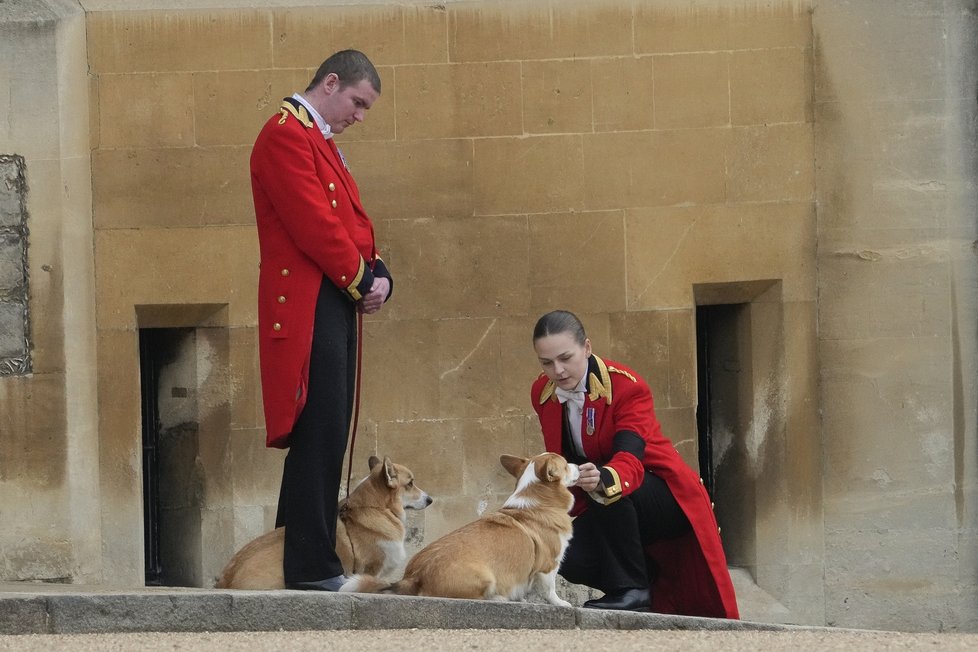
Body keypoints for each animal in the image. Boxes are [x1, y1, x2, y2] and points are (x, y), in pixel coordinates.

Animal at [342, 454, 576, 608]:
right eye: (566, 465)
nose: (578, 464)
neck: (538, 501)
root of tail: (413, 578)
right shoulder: (549, 564)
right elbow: (550, 588)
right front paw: (560, 603)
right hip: (485, 577)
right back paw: (498, 598)